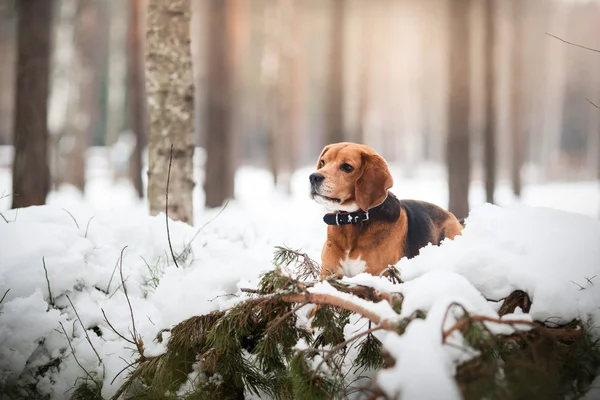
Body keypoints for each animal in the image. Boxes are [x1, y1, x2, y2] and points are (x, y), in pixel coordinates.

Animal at [310, 143, 464, 278]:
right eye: (323, 163)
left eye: (347, 167)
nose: (313, 177)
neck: (351, 221)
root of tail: (452, 216)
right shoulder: (327, 275)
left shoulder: (376, 274)